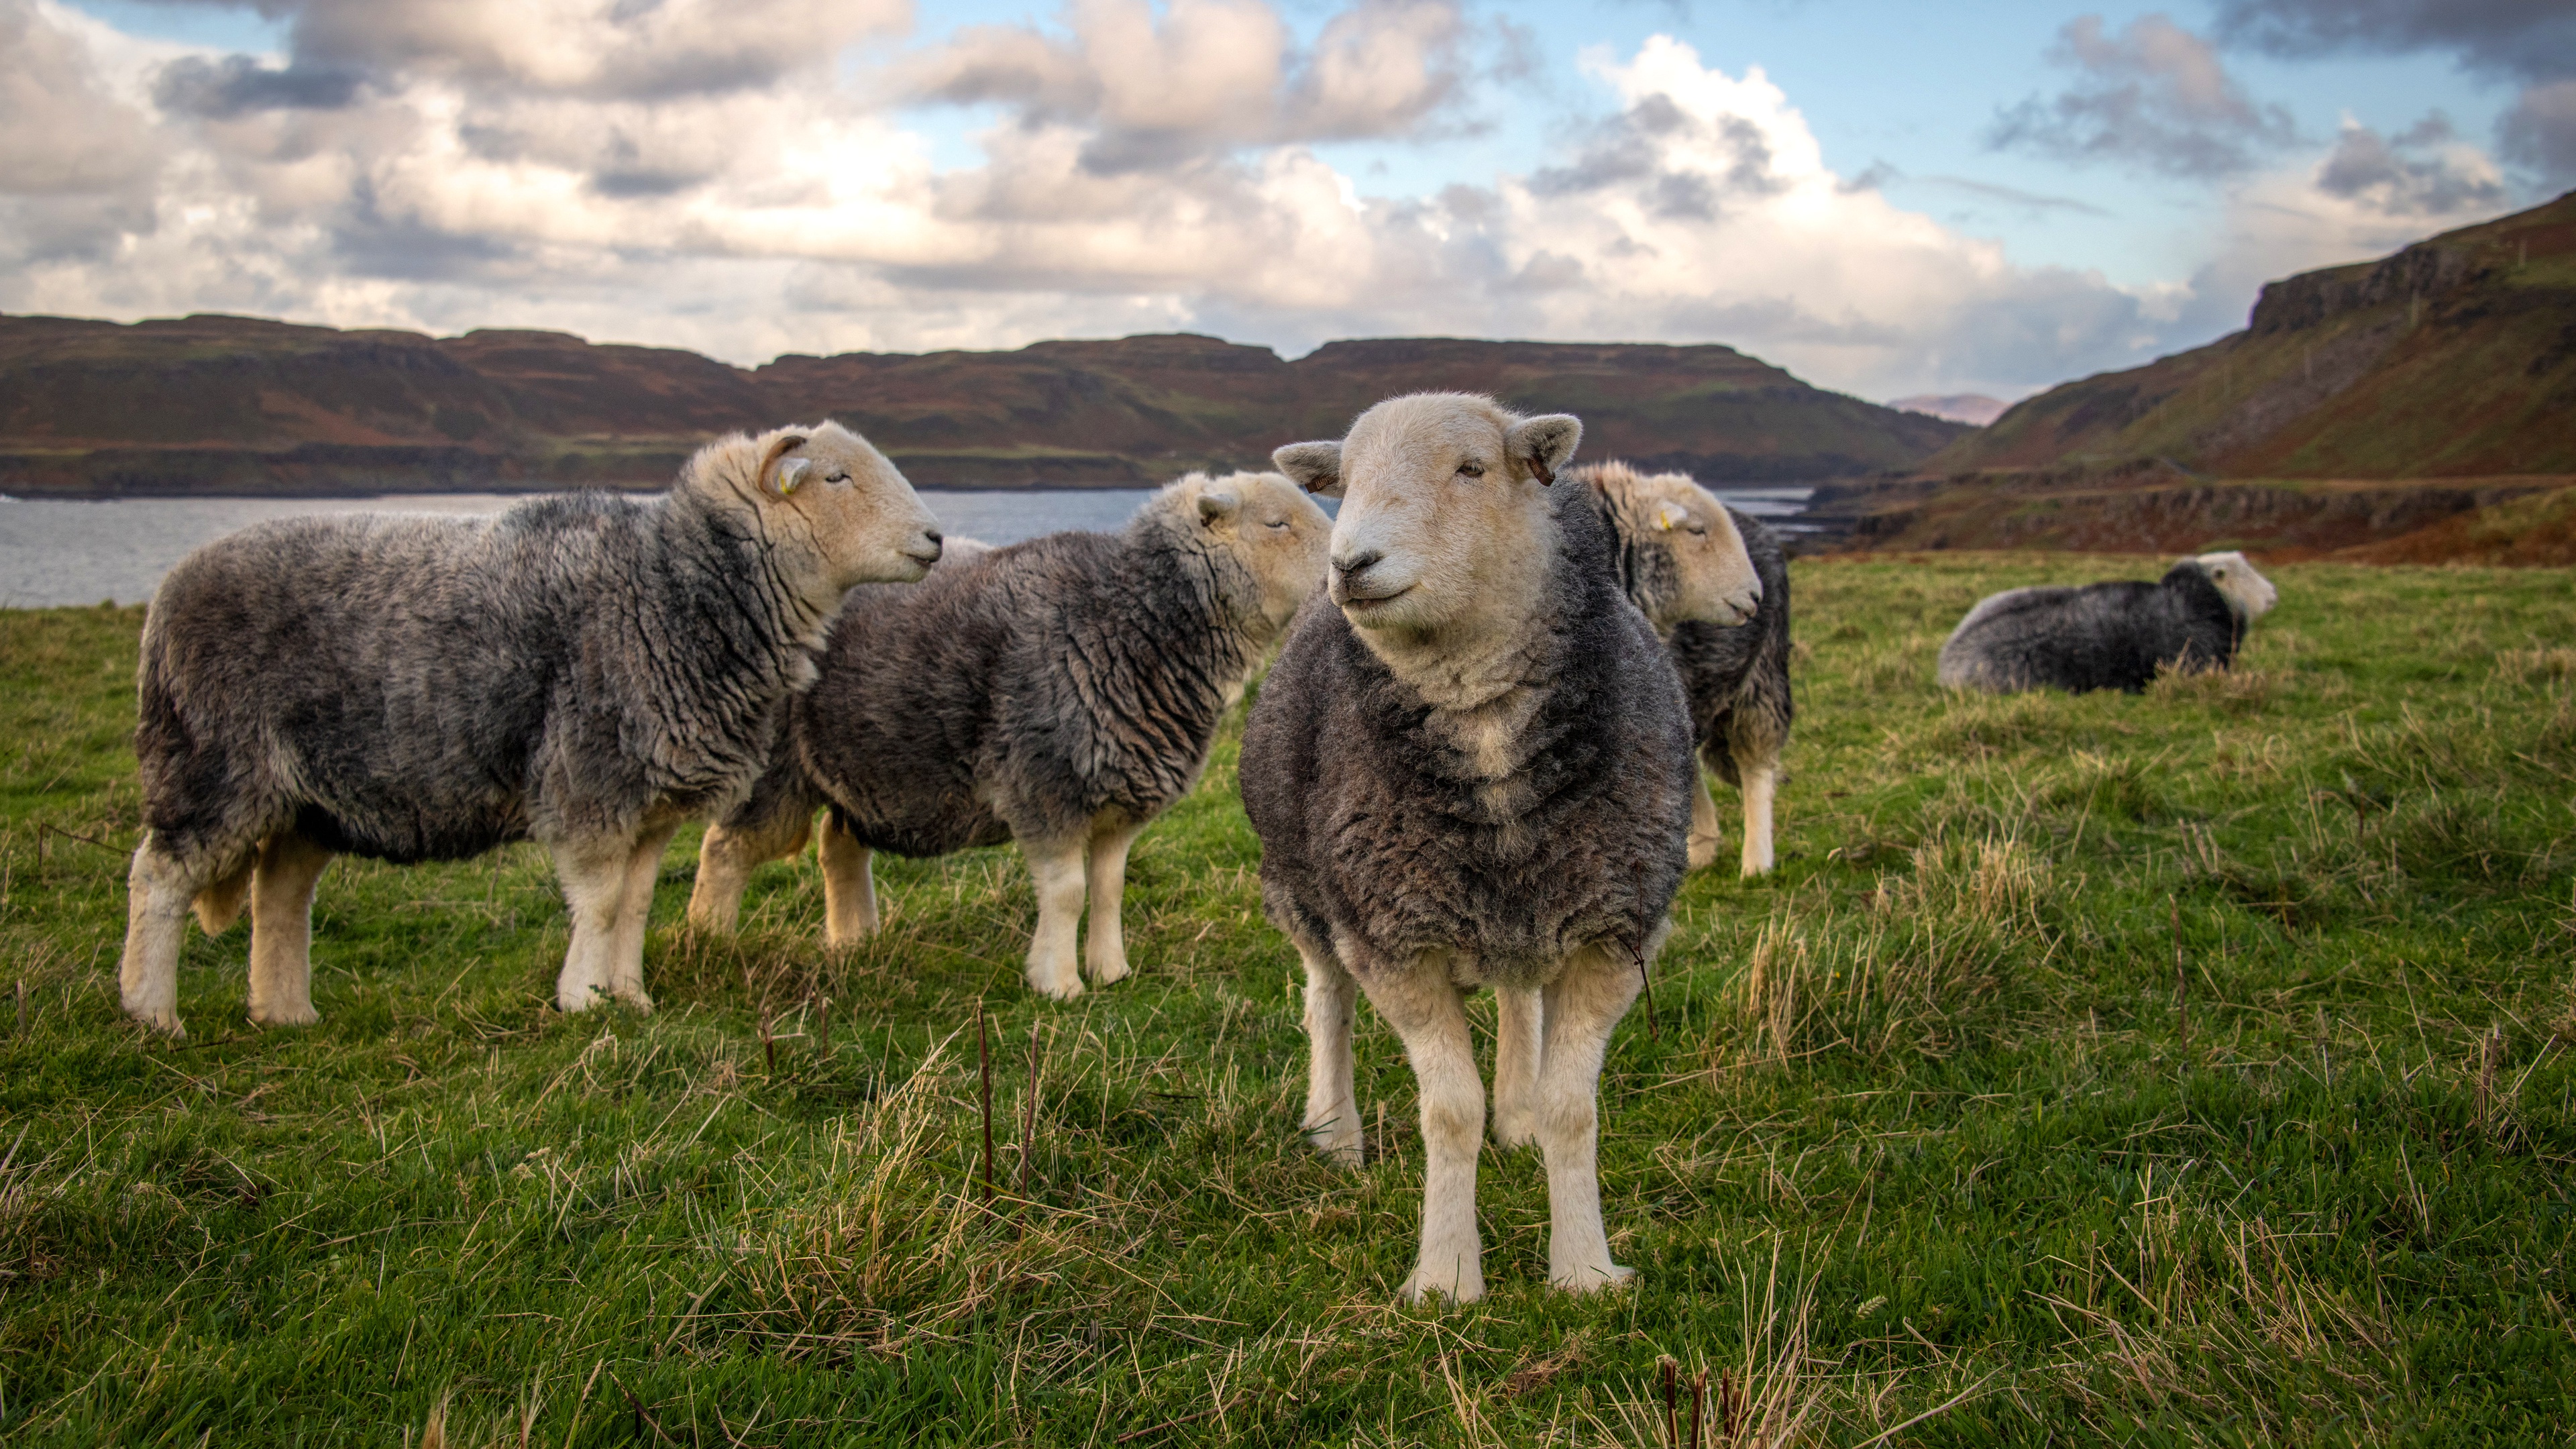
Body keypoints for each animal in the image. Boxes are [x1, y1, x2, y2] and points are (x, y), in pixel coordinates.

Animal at [118, 415, 948, 1026]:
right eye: (837, 477)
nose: (937, 538)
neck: (673, 586)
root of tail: (170, 586)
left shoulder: (651, 801)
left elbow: (636, 902)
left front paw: (632, 996)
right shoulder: (591, 780)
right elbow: (602, 901)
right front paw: (582, 999)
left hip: (310, 794)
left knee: (280, 890)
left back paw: (285, 1013)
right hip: (213, 760)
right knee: (158, 877)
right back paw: (152, 1014)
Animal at [685, 469, 1329, 1000]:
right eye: (1277, 523)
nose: (1339, 574)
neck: (1125, 619)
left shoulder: (1119, 801)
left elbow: (1110, 888)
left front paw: (1110, 971)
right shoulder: (1045, 784)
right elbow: (1068, 893)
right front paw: (1059, 983)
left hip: (862, 762)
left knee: (836, 845)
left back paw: (855, 940)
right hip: (779, 764)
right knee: (726, 847)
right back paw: (709, 939)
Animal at [1241, 392, 1700, 1299]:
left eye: (1473, 468)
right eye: (1343, 480)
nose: (1350, 563)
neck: (1485, 728)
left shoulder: (1614, 934)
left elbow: (1572, 1108)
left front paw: (1583, 1267)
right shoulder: (1394, 939)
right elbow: (1450, 1112)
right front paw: (1448, 1275)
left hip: (1533, 912)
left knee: (1520, 999)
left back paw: (1516, 1115)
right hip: (1304, 892)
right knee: (1327, 1003)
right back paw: (1335, 1132)